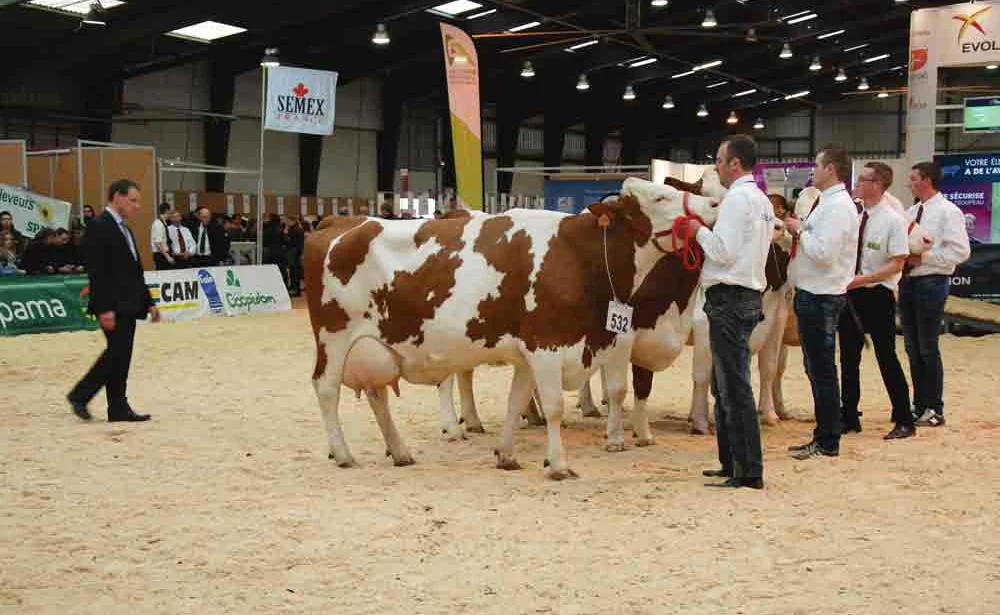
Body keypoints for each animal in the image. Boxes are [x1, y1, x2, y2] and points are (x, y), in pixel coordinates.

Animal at [304, 178, 720, 482]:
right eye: (662, 196)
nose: (714, 206)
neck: (577, 255)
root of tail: (340, 222)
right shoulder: (548, 344)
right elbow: (553, 406)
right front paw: (558, 464)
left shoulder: (530, 353)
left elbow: (516, 401)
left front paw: (506, 455)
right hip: (335, 338)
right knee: (326, 389)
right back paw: (343, 453)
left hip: (376, 344)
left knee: (377, 394)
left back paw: (401, 451)